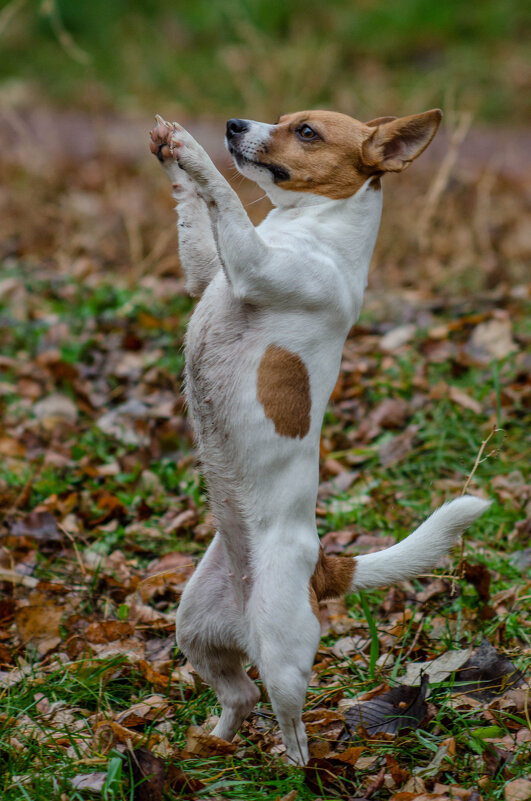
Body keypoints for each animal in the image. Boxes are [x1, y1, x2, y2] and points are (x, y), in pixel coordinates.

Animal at [150, 109, 490, 764]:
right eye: (282, 120)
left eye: (306, 132)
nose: (233, 123)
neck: (305, 227)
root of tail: (322, 570)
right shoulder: (211, 270)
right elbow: (196, 215)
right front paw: (169, 153)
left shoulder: (251, 264)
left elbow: (224, 195)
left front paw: (195, 152)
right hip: (195, 628)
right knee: (240, 696)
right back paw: (206, 750)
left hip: (281, 655)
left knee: (292, 725)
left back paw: (293, 770)